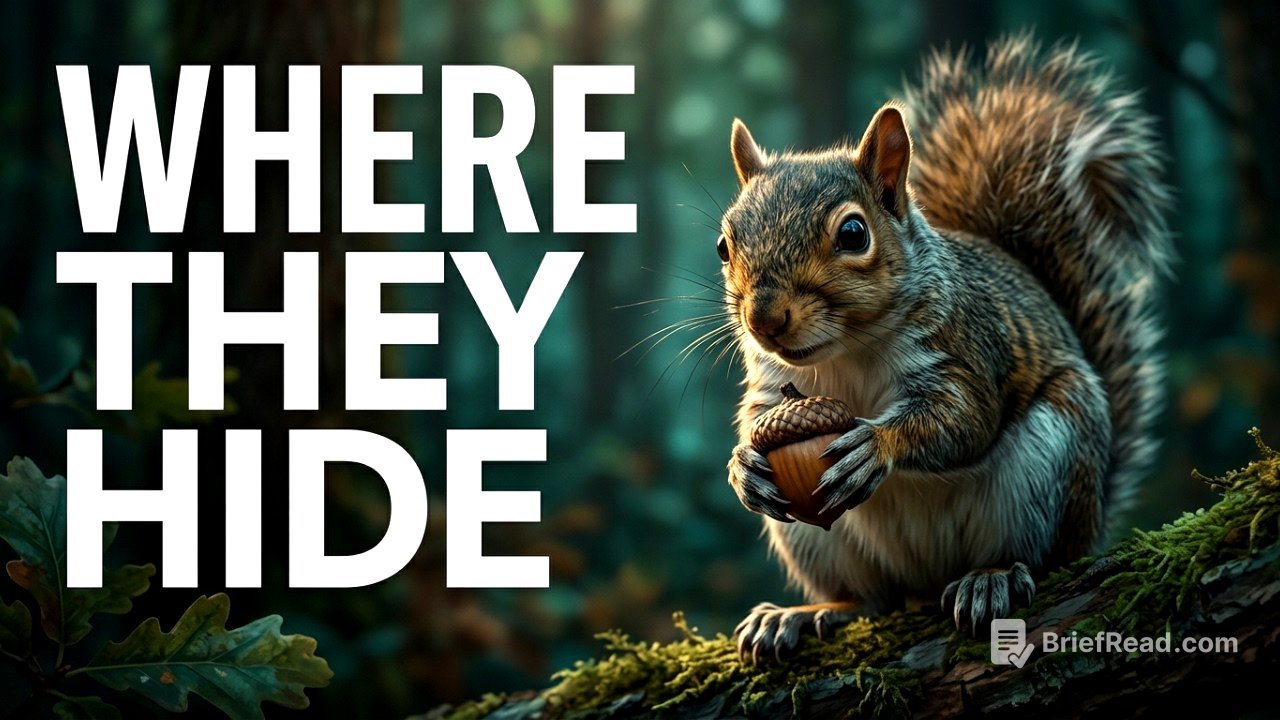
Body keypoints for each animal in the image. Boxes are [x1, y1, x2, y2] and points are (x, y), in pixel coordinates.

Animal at [718, 36, 1173, 661]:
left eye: (853, 234)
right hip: (814, 540)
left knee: (1035, 557)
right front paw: (744, 466)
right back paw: (803, 614)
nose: (764, 319)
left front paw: (878, 444)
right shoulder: (773, 383)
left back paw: (992, 579)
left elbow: (965, 418)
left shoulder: (963, 347)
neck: (844, 353)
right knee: (870, 600)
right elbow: (757, 418)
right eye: (724, 245)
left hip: (1050, 461)